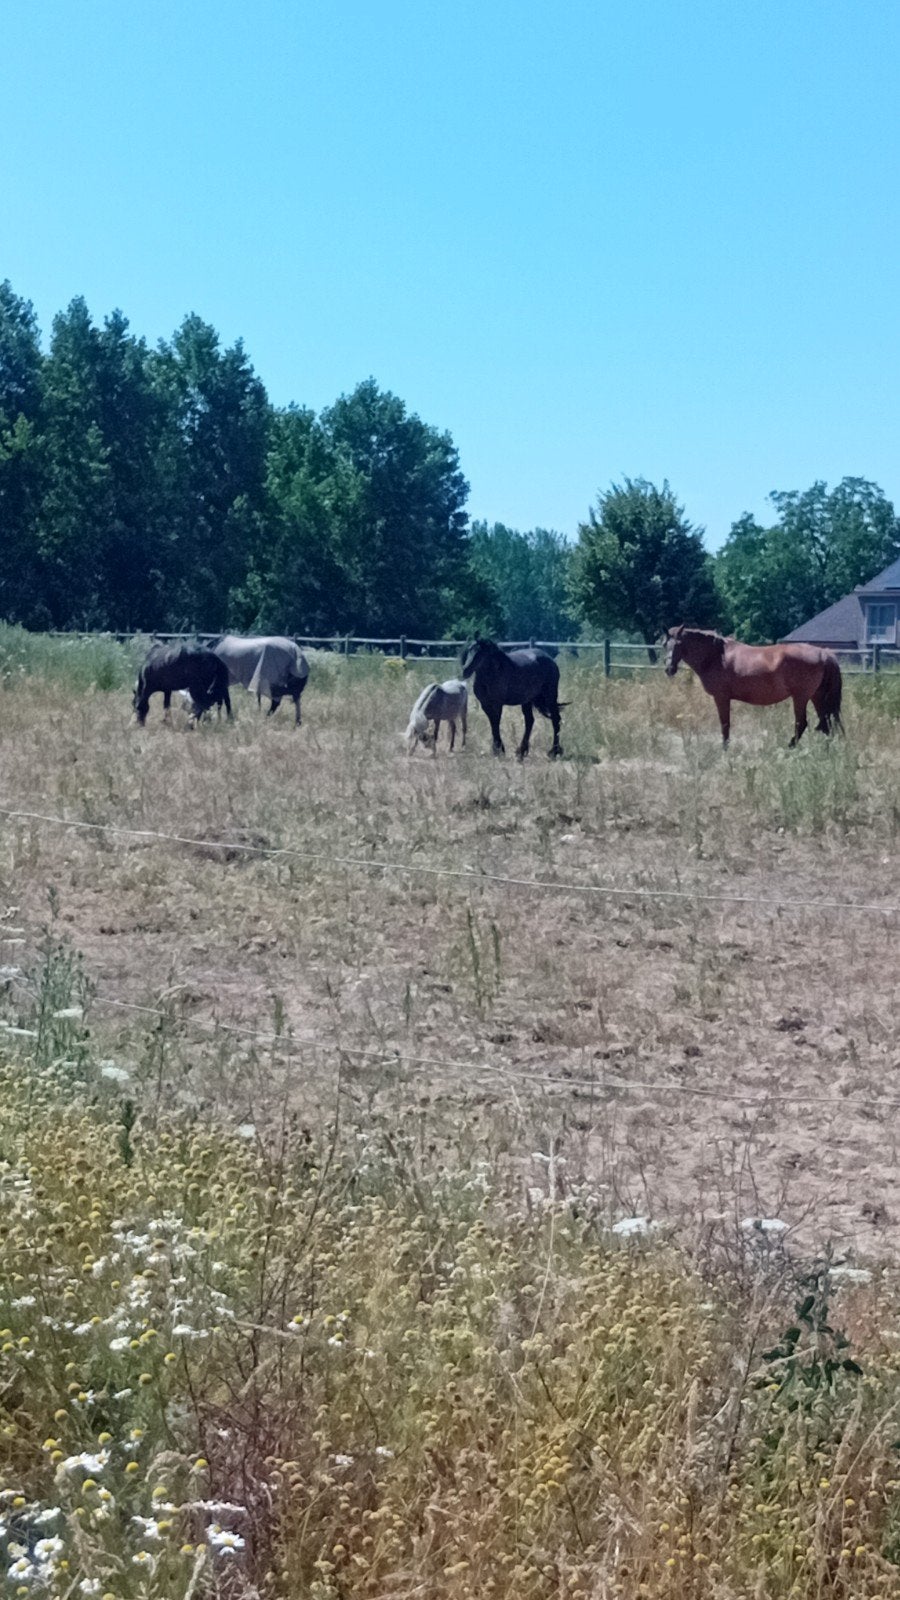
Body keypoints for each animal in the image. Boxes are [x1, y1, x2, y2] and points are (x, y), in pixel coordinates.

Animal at [664, 626, 844, 747]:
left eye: (678, 644)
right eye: (665, 645)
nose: (669, 669)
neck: (716, 656)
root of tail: (823, 653)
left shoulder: (721, 697)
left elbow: (725, 725)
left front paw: (725, 750)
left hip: (801, 697)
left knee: (803, 723)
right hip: (817, 696)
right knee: (826, 724)